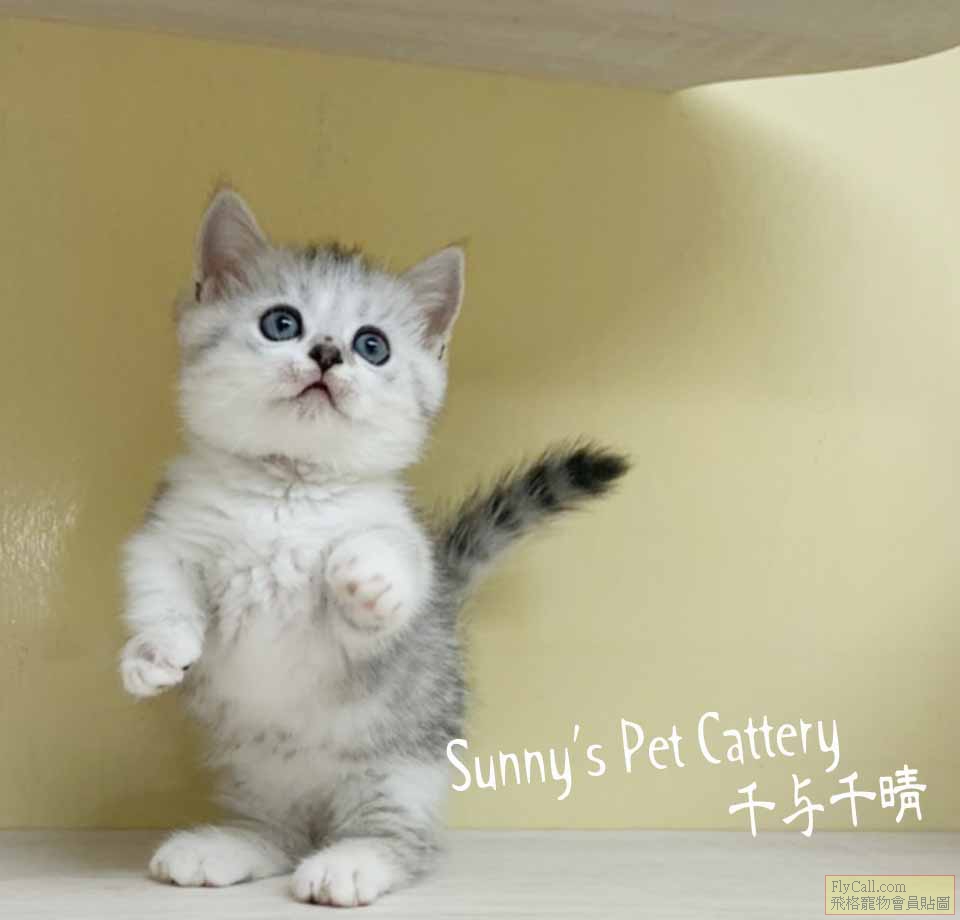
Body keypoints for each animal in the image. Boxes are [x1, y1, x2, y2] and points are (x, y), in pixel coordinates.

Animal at [119, 189, 628, 907]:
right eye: (281, 323)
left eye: (372, 346)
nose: (329, 353)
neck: (290, 490)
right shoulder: (172, 529)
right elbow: (157, 580)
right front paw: (153, 653)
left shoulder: (392, 573)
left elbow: (382, 575)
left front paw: (367, 577)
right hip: (254, 769)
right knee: (279, 832)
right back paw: (226, 845)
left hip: (399, 766)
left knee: (403, 839)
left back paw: (352, 862)